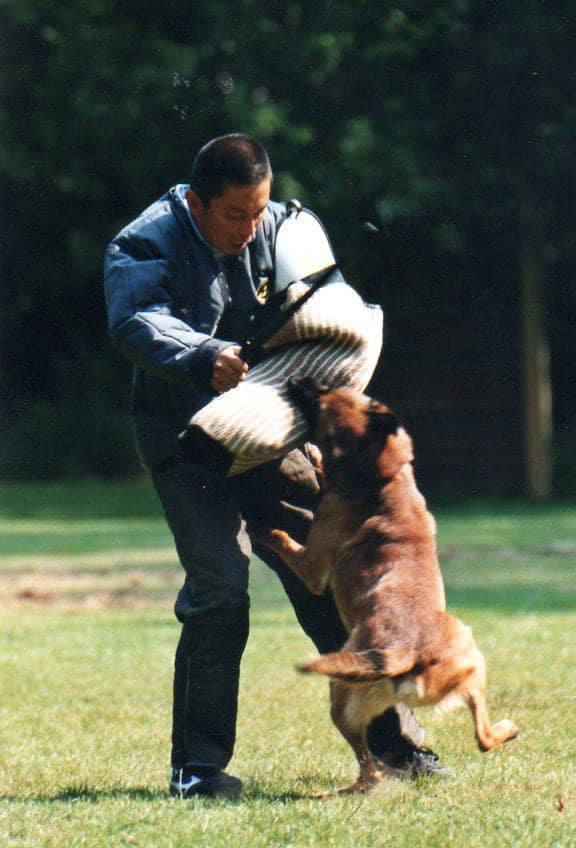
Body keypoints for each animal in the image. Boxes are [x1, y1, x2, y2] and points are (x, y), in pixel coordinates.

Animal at [263, 377, 518, 795]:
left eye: (325, 391)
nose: (297, 379)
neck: (386, 477)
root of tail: (403, 653)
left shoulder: (313, 567)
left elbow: (278, 535)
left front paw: (263, 528)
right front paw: (315, 458)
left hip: (351, 690)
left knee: (371, 770)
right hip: (465, 666)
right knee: (479, 739)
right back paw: (506, 730)